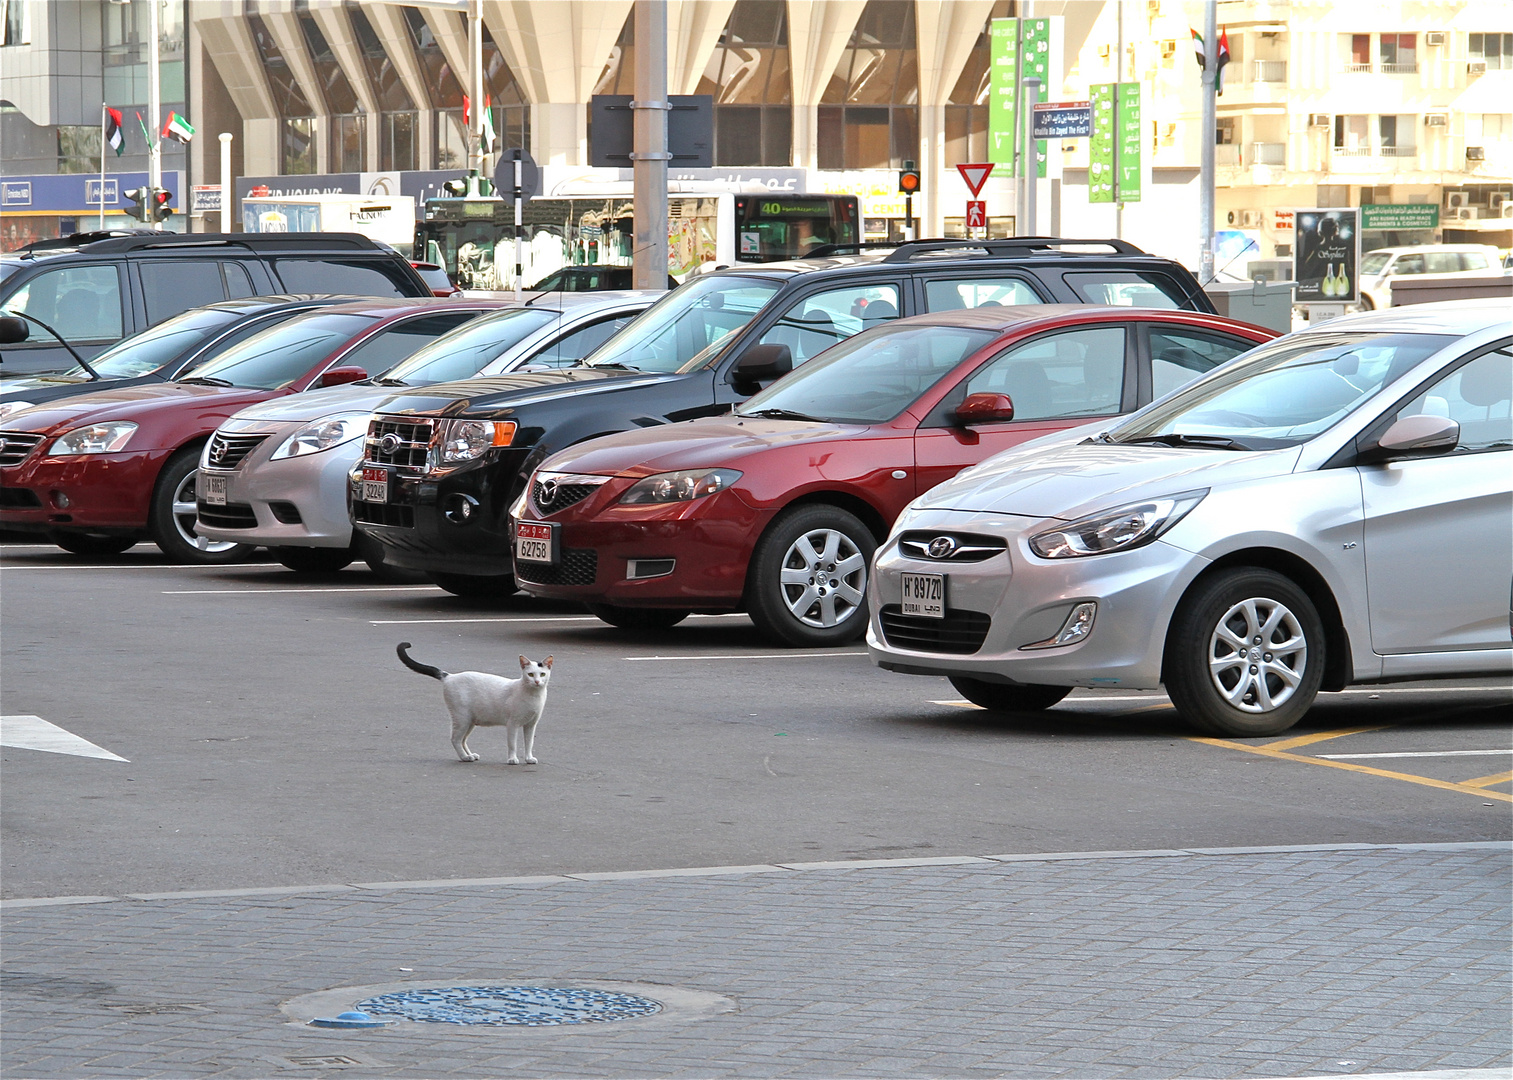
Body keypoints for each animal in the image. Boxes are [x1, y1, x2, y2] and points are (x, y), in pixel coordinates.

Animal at [396, 644, 556, 762]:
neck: (533, 696)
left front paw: (529, 758)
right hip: (462, 719)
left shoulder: (531, 725)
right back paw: (464, 757)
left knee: (462, 740)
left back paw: (470, 755)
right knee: (455, 739)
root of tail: (449, 676)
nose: (537, 681)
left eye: (542, 674)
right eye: (530, 674)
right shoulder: (512, 724)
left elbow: (529, 744)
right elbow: (512, 744)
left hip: (470, 722)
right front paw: (512, 759)